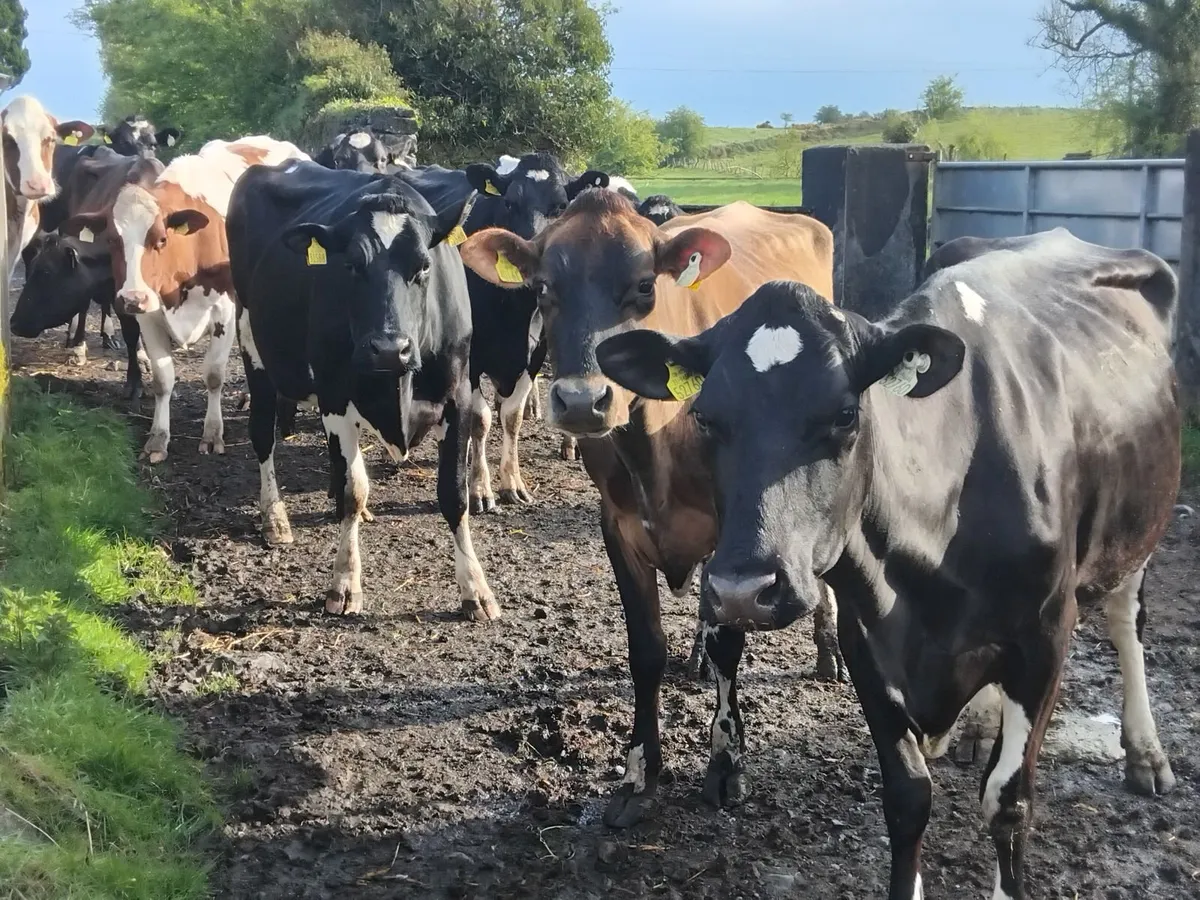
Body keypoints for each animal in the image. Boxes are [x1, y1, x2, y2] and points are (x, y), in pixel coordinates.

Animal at [64, 135, 309, 464]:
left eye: (161, 239)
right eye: (113, 241)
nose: (131, 298)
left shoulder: (224, 311)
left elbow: (214, 374)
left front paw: (213, 434)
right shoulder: (149, 314)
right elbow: (162, 379)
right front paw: (158, 439)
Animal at [225, 159, 495, 621]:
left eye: (424, 266)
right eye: (351, 265)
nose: (389, 347)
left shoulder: (457, 396)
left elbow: (454, 494)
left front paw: (475, 588)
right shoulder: (335, 395)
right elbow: (355, 489)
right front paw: (345, 582)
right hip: (252, 344)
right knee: (262, 435)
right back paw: (274, 518)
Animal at [405, 152, 608, 511]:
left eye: (561, 206)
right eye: (510, 203)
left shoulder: (534, 355)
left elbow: (511, 417)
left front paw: (512, 482)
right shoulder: (472, 356)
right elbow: (480, 419)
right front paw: (479, 488)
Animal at [458, 191, 842, 825]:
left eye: (644, 285)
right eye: (542, 287)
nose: (582, 401)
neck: (656, 442)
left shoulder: (730, 528)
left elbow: (732, 644)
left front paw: (725, 766)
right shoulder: (617, 527)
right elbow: (646, 648)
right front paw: (640, 775)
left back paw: (827, 650)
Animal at [594, 228, 1180, 899]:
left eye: (845, 414)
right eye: (704, 417)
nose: (743, 589)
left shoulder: (1045, 639)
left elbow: (1008, 803)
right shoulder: (867, 639)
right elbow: (906, 799)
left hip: (1139, 528)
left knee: (1126, 620)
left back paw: (1145, 753)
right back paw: (977, 729)